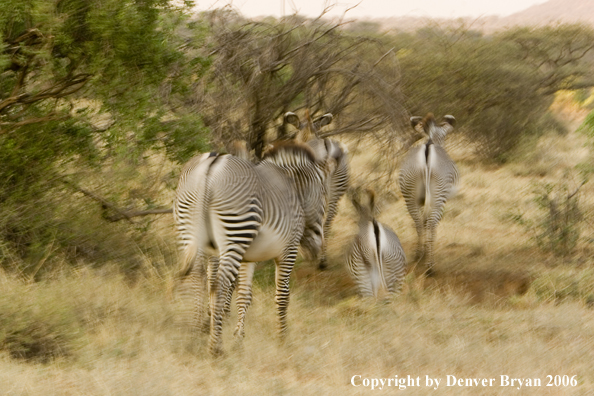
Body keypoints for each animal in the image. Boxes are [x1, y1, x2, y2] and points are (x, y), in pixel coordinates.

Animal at [282, 113, 346, 270]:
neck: (308, 136)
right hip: (335, 190)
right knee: (327, 222)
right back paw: (322, 259)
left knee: (320, 223)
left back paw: (315, 256)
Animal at [398, 113, 458, 276]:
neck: (431, 140)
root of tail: (427, 150)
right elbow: (429, 224)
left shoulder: (421, 200)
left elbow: (423, 222)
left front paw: (423, 252)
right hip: (438, 197)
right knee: (431, 224)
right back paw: (430, 266)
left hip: (410, 195)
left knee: (418, 223)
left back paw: (418, 255)